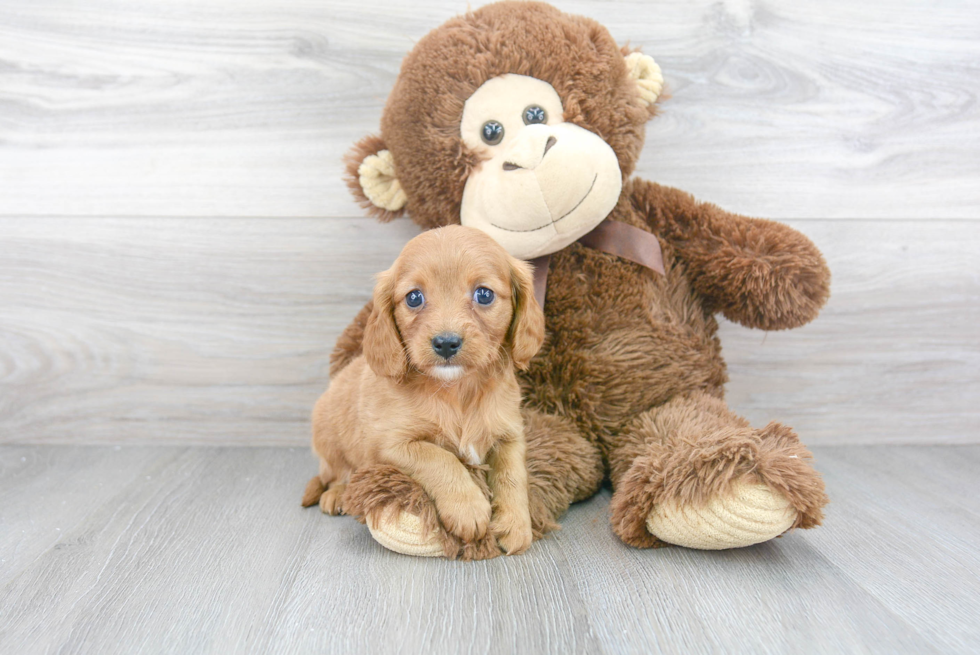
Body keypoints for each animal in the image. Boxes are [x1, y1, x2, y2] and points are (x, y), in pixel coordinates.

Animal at [300, 224, 544, 552]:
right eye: (414, 297)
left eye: (484, 294)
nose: (446, 343)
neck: (457, 391)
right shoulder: (390, 445)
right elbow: (439, 458)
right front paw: (469, 508)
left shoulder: (510, 434)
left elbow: (513, 474)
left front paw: (516, 523)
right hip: (327, 435)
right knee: (335, 472)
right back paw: (337, 493)